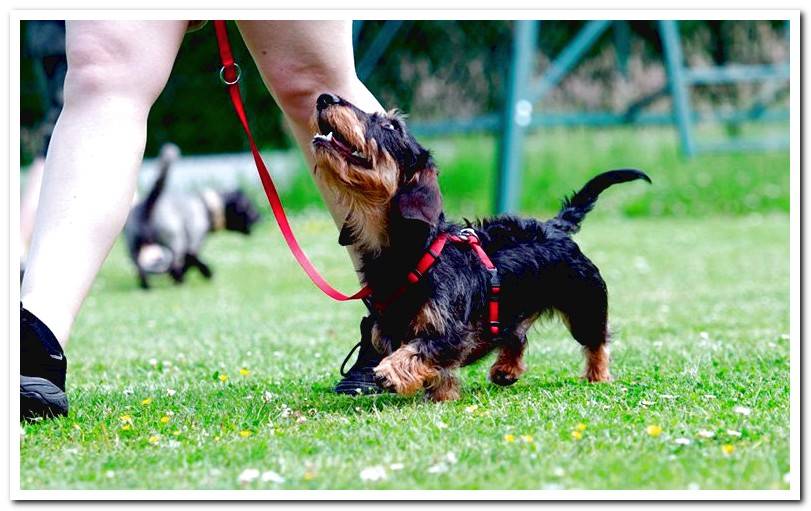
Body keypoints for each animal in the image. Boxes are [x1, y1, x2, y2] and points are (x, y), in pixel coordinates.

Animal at [310, 94, 652, 402]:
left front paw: (391, 372)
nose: (325, 98)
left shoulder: (451, 332)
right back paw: (506, 370)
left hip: (585, 303)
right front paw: (442, 394)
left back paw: (598, 376)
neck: (412, 252)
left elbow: (421, 350)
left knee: (596, 342)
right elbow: (435, 366)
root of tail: (556, 226)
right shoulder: (388, 331)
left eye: (391, 126)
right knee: (517, 335)